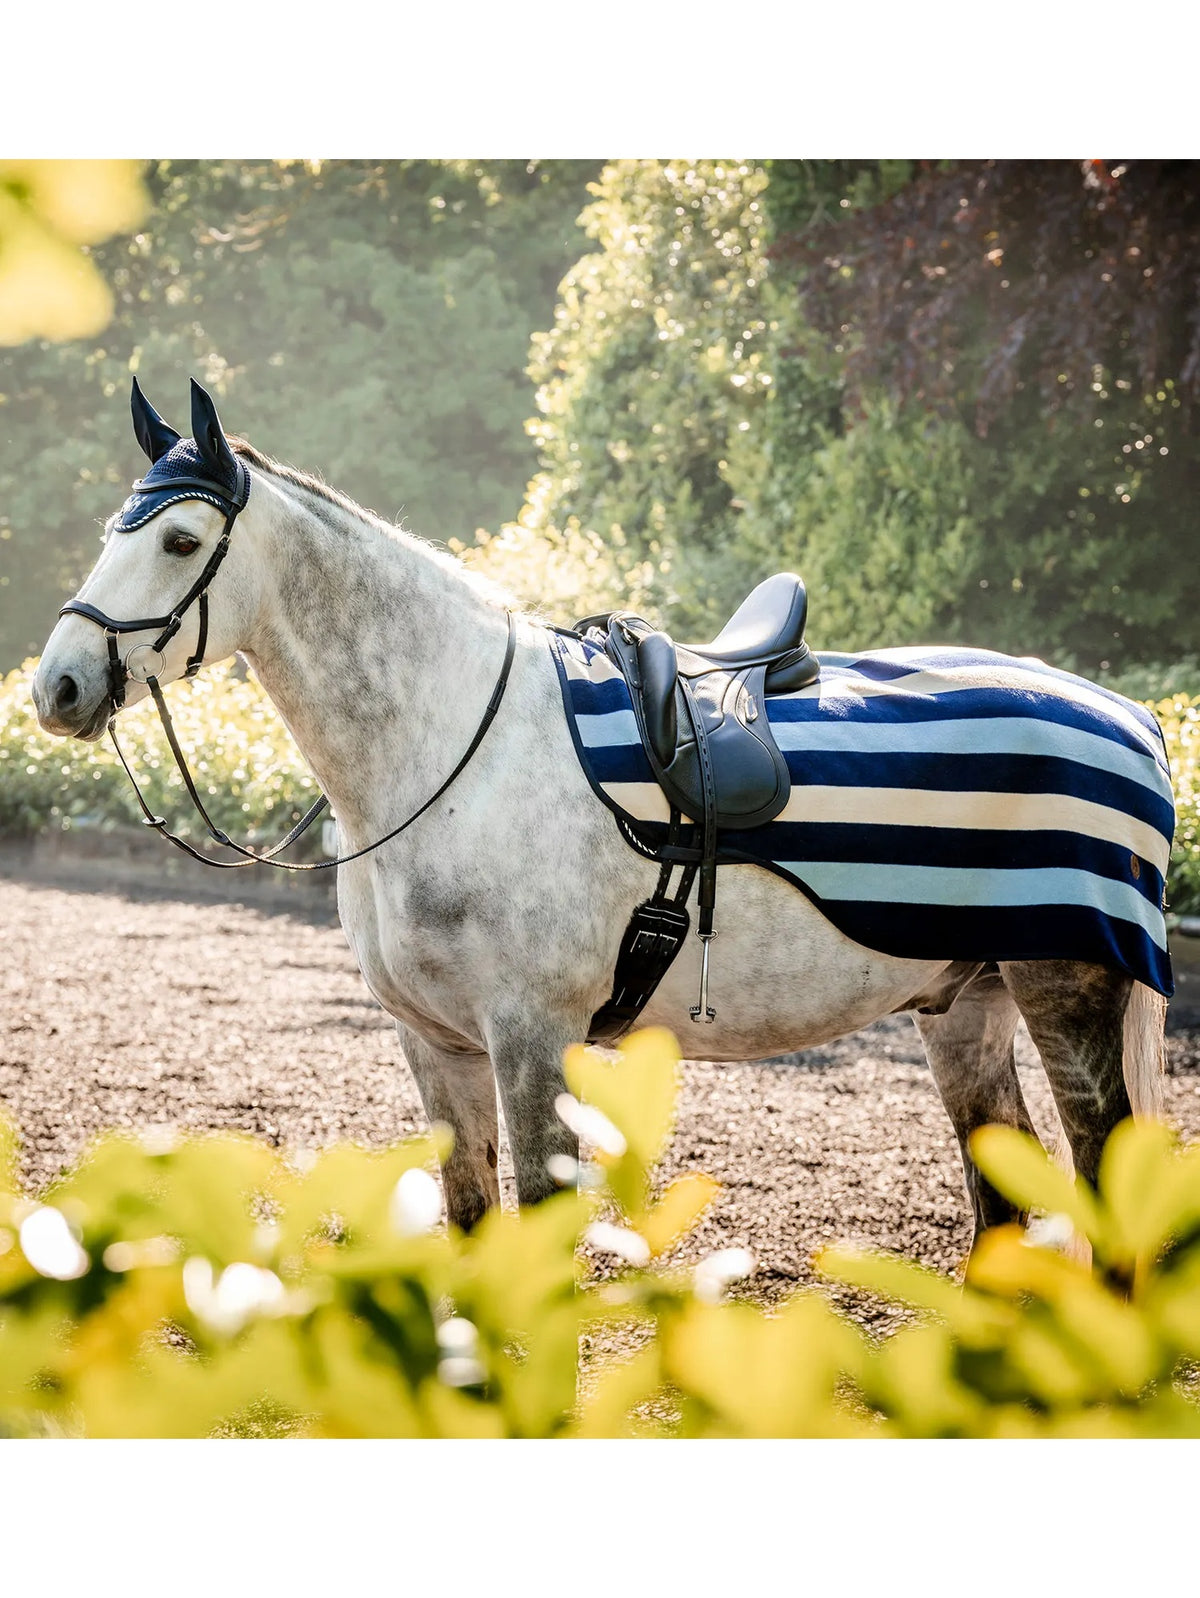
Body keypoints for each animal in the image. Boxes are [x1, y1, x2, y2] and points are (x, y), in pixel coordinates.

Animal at [31, 380, 1169, 1251]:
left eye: (181, 539)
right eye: (115, 532)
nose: (59, 686)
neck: (454, 745)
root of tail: (1130, 715)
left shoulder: (532, 1038)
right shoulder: (436, 1047)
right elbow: (472, 1222)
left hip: (1064, 994)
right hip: (964, 1004)